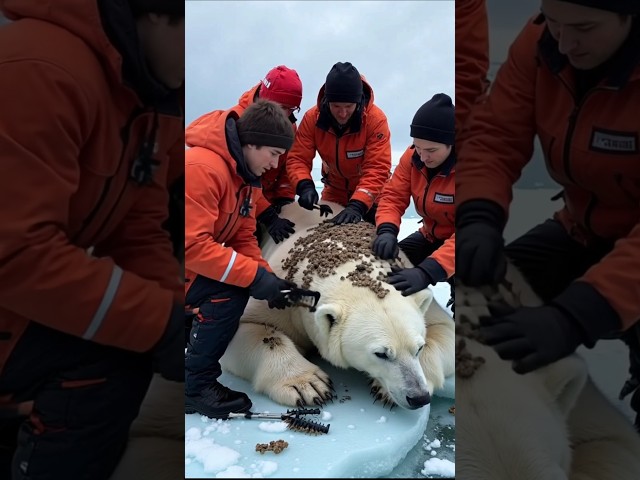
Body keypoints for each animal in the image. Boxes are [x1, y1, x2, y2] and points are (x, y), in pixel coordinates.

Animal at [220, 201, 456, 410]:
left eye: (419, 348)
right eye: (381, 353)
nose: (418, 397)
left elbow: (444, 328)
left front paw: (384, 390)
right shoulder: (282, 298)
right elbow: (247, 328)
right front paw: (308, 384)